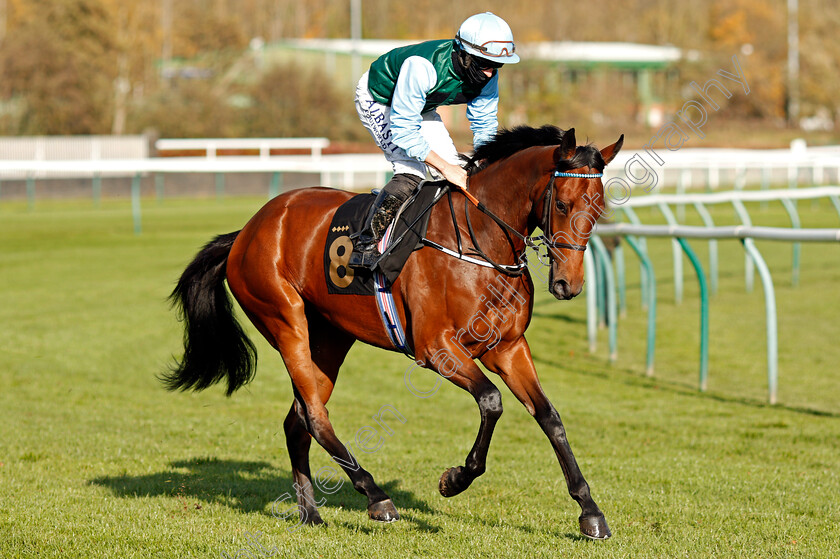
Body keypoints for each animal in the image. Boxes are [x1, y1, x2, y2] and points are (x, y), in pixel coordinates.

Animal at [164, 126, 624, 540]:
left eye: (599, 206)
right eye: (562, 204)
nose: (568, 285)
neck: (479, 242)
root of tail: (246, 230)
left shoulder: (508, 348)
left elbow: (550, 417)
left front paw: (590, 512)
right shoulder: (437, 349)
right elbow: (491, 402)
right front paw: (454, 479)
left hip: (329, 338)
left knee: (298, 419)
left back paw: (310, 513)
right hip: (284, 319)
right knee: (314, 415)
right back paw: (376, 496)